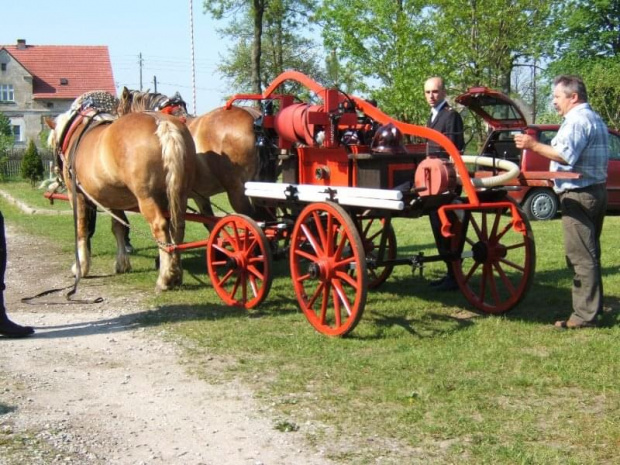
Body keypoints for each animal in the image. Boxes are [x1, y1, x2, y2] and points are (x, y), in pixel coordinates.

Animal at [47, 94, 195, 290]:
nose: (56, 172)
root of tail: (162, 123)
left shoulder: (77, 195)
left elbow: (81, 229)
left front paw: (81, 268)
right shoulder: (112, 199)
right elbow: (118, 227)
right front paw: (122, 263)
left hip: (147, 197)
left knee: (160, 226)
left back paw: (164, 278)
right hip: (180, 194)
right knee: (177, 228)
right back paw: (176, 273)